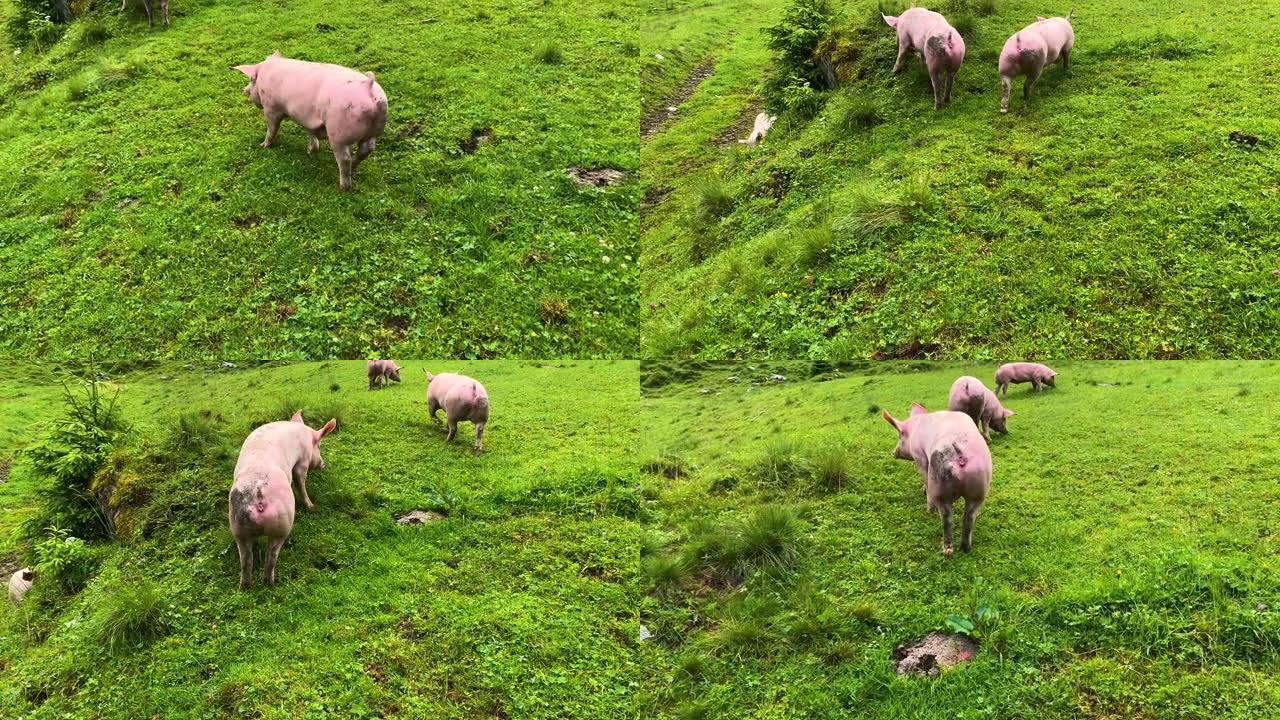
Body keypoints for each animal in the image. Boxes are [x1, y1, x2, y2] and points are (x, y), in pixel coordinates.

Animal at [227, 407, 335, 586]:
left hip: (238, 526)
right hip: (283, 523)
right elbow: (300, 482)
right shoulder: (303, 461)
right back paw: (270, 582)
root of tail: (258, 493)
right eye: (319, 445)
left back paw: (245, 586)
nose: (323, 464)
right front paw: (311, 506)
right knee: (271, 555)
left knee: (246, 559)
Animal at [231, 51, 386, 190]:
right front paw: (310, 151)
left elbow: (272, 128)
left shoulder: (271, 107)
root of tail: (368, 86)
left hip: (338, 133)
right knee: (366, 150)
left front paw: (263, 145)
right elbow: (311, 133)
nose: (243, 90)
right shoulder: (307, 118)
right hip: (374, 131)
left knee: (345, 158)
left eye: (251, 80)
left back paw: (343, 187)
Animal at [885, 404, 993, 556]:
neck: (914, 429)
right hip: (980, 485)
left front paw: (924, 491)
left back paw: (945, 545)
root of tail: (961, 454)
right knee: (969, 517)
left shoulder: (919, 456)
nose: (892, 453)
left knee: (947, 517)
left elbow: (924, 474)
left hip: (938, 480)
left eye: (899, 435)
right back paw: (966, 548)